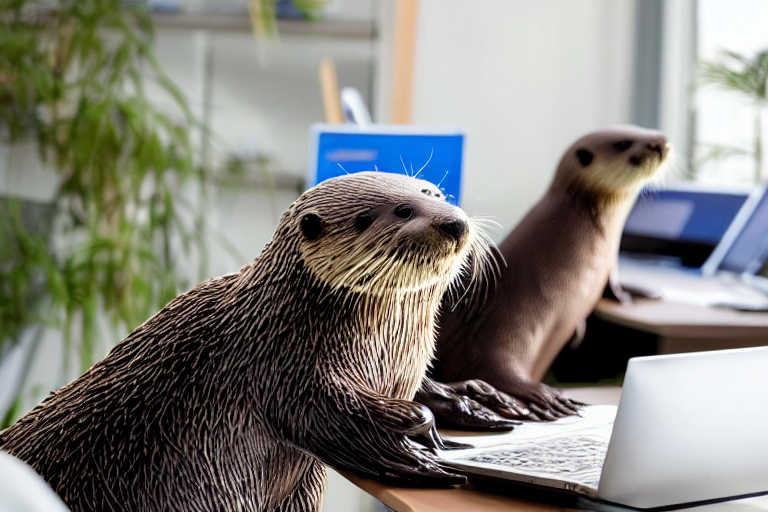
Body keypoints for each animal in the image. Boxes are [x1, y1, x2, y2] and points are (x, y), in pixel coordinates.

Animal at [0, 172, 497, 512]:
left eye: (433, 194)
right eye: (396, 212)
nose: (453, 223)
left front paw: (478, 403)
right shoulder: (280, 364)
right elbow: (327, 416)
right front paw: (417, 447)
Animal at [417, 126, 669, 428]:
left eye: (644, 129)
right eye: (624, 143)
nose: (662, 141)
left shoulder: (608, 270)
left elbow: (614, 287)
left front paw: (642, 293)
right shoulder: (498, 318)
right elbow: (486, 365)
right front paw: (544, 396)